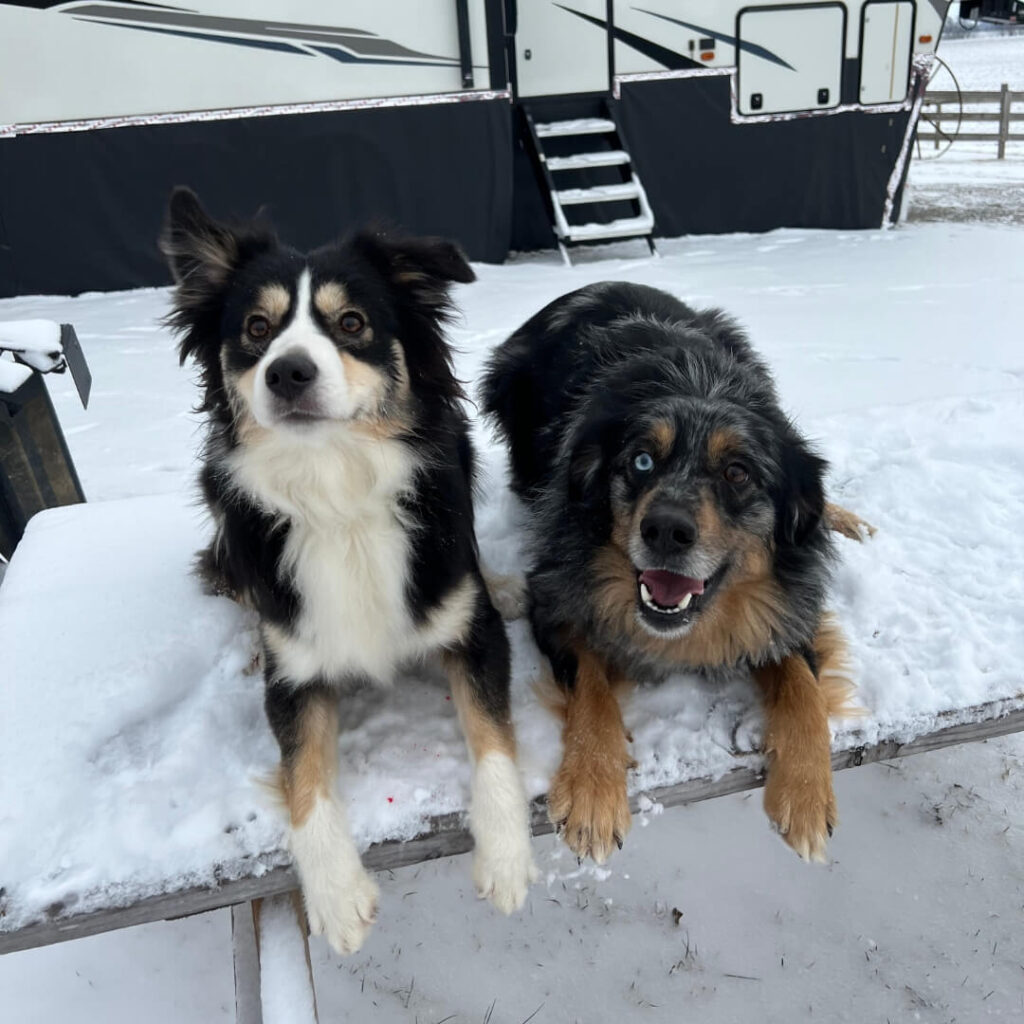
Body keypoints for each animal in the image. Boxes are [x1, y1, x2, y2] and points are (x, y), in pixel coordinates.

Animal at [161, 188, 536, 954]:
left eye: (352, 323)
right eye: (256, 328)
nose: (288, 371)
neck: (334, 488)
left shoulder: (474, 634)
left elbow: (494, 740)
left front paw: (508, 857)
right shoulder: (296, 677)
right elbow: (303, 777)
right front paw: (335, 896)